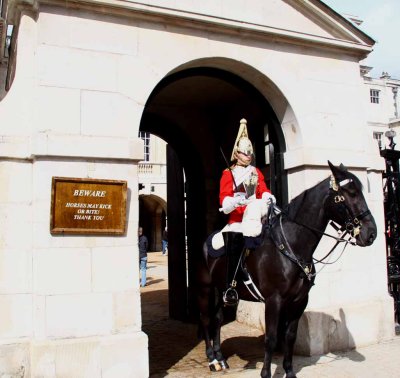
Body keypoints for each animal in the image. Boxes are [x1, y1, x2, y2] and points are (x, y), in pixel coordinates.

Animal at [197, 162, 378, 378]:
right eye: (348, 194)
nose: (371, 233)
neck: (292, 245)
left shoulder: (299, 301)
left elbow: (290, 337)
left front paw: (289, 372)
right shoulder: (273, 300)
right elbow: (271, 338)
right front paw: (265, 373)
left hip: (223, 291)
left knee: (217, 318)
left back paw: (221, 358)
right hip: (206, 287)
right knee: (206, 318)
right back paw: (212, 359)